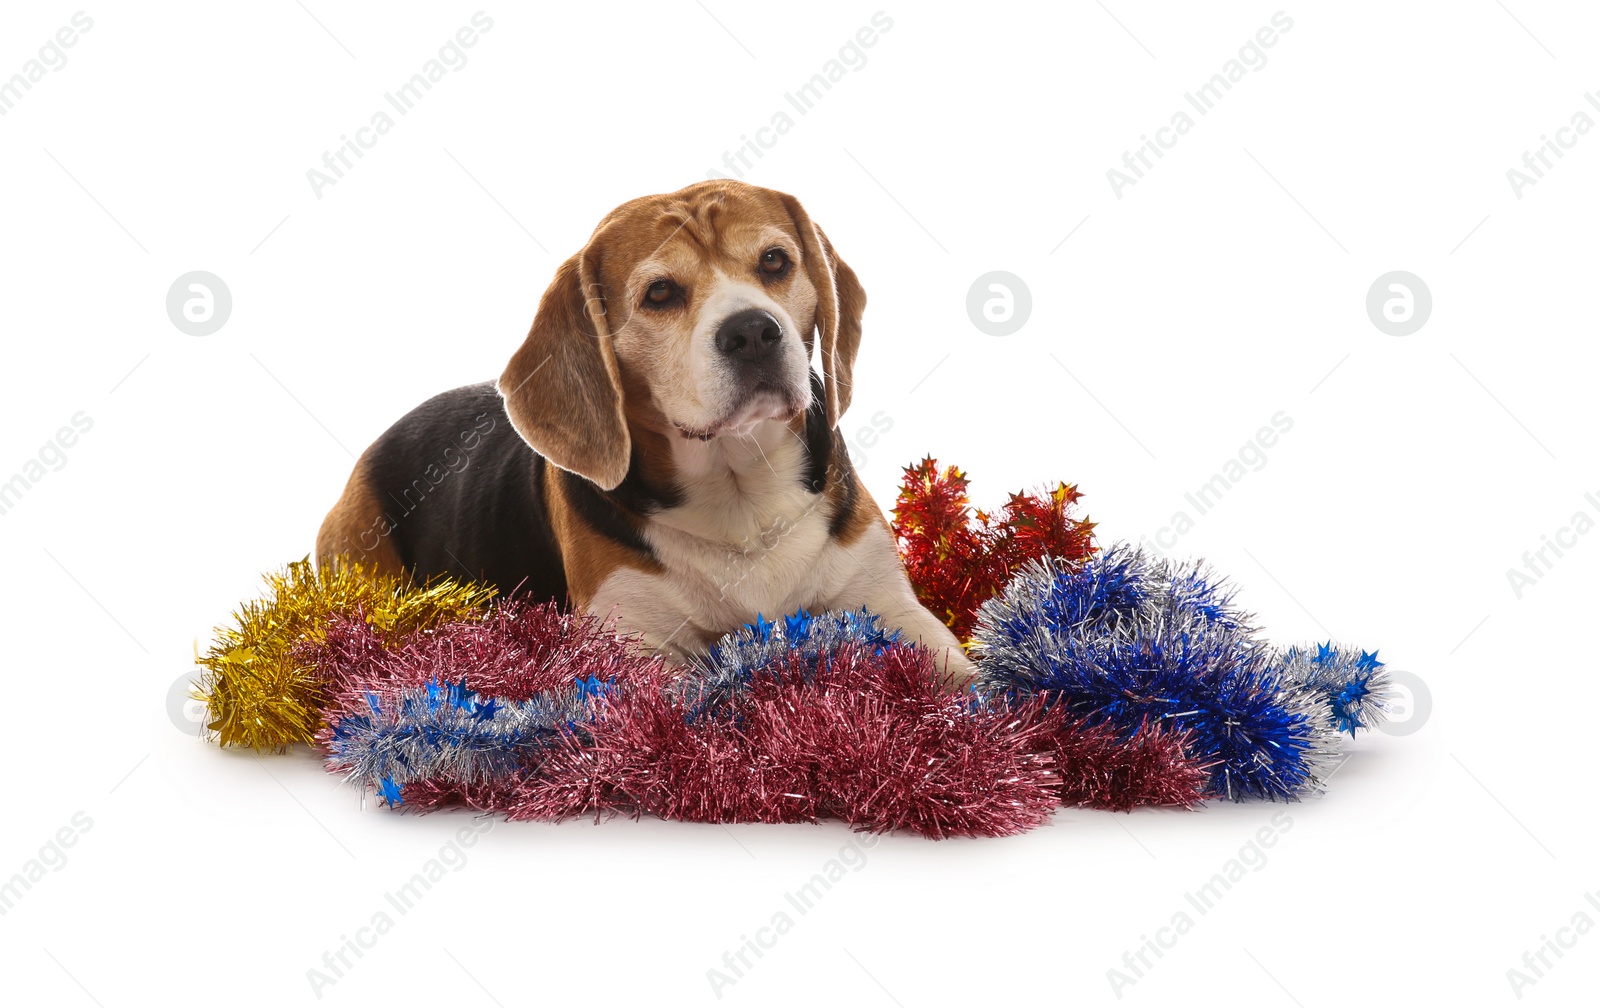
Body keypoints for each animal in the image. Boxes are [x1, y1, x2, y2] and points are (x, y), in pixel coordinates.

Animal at [307, 181, 966, 688]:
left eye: (775, 261)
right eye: (660, 293)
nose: (753, 331)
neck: (742, 498)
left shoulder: (888, 601)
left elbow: (958, 672)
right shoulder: (637, 639)